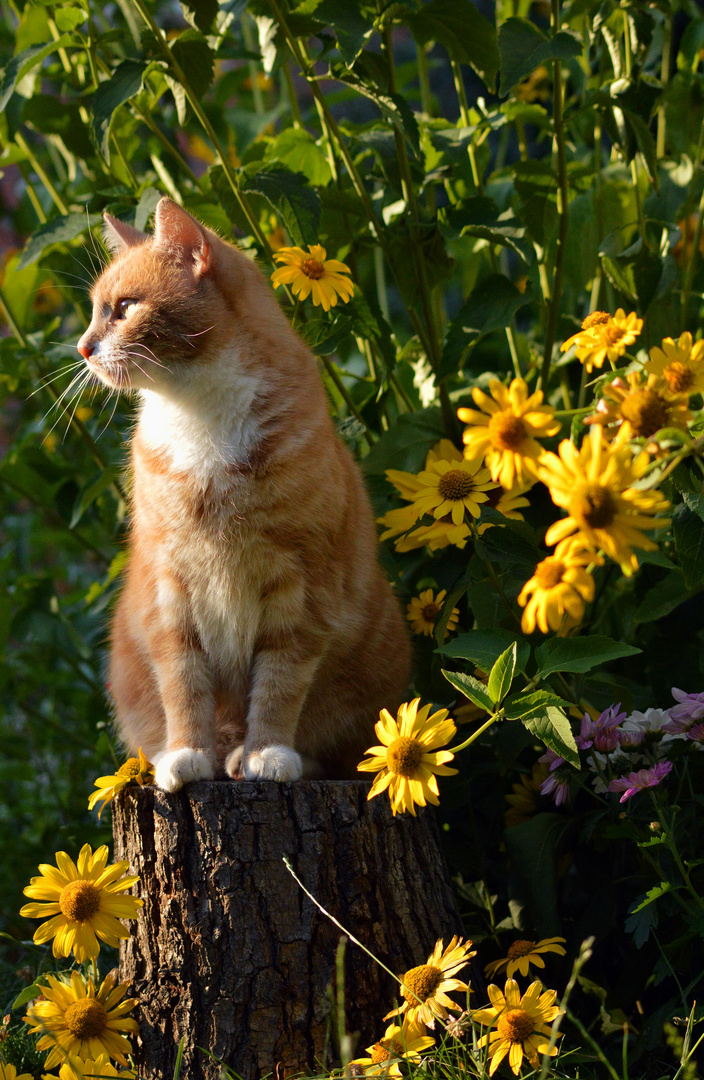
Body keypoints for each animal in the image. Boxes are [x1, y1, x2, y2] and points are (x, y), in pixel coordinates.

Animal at [75, 200, 410, 794]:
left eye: (125, 308)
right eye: (95, 311)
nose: (83, 348)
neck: (201, 413)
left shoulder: (302, 589)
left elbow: (278, 685)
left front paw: (268, 753)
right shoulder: (170, 590)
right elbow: (183, 683)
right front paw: (188, 754)